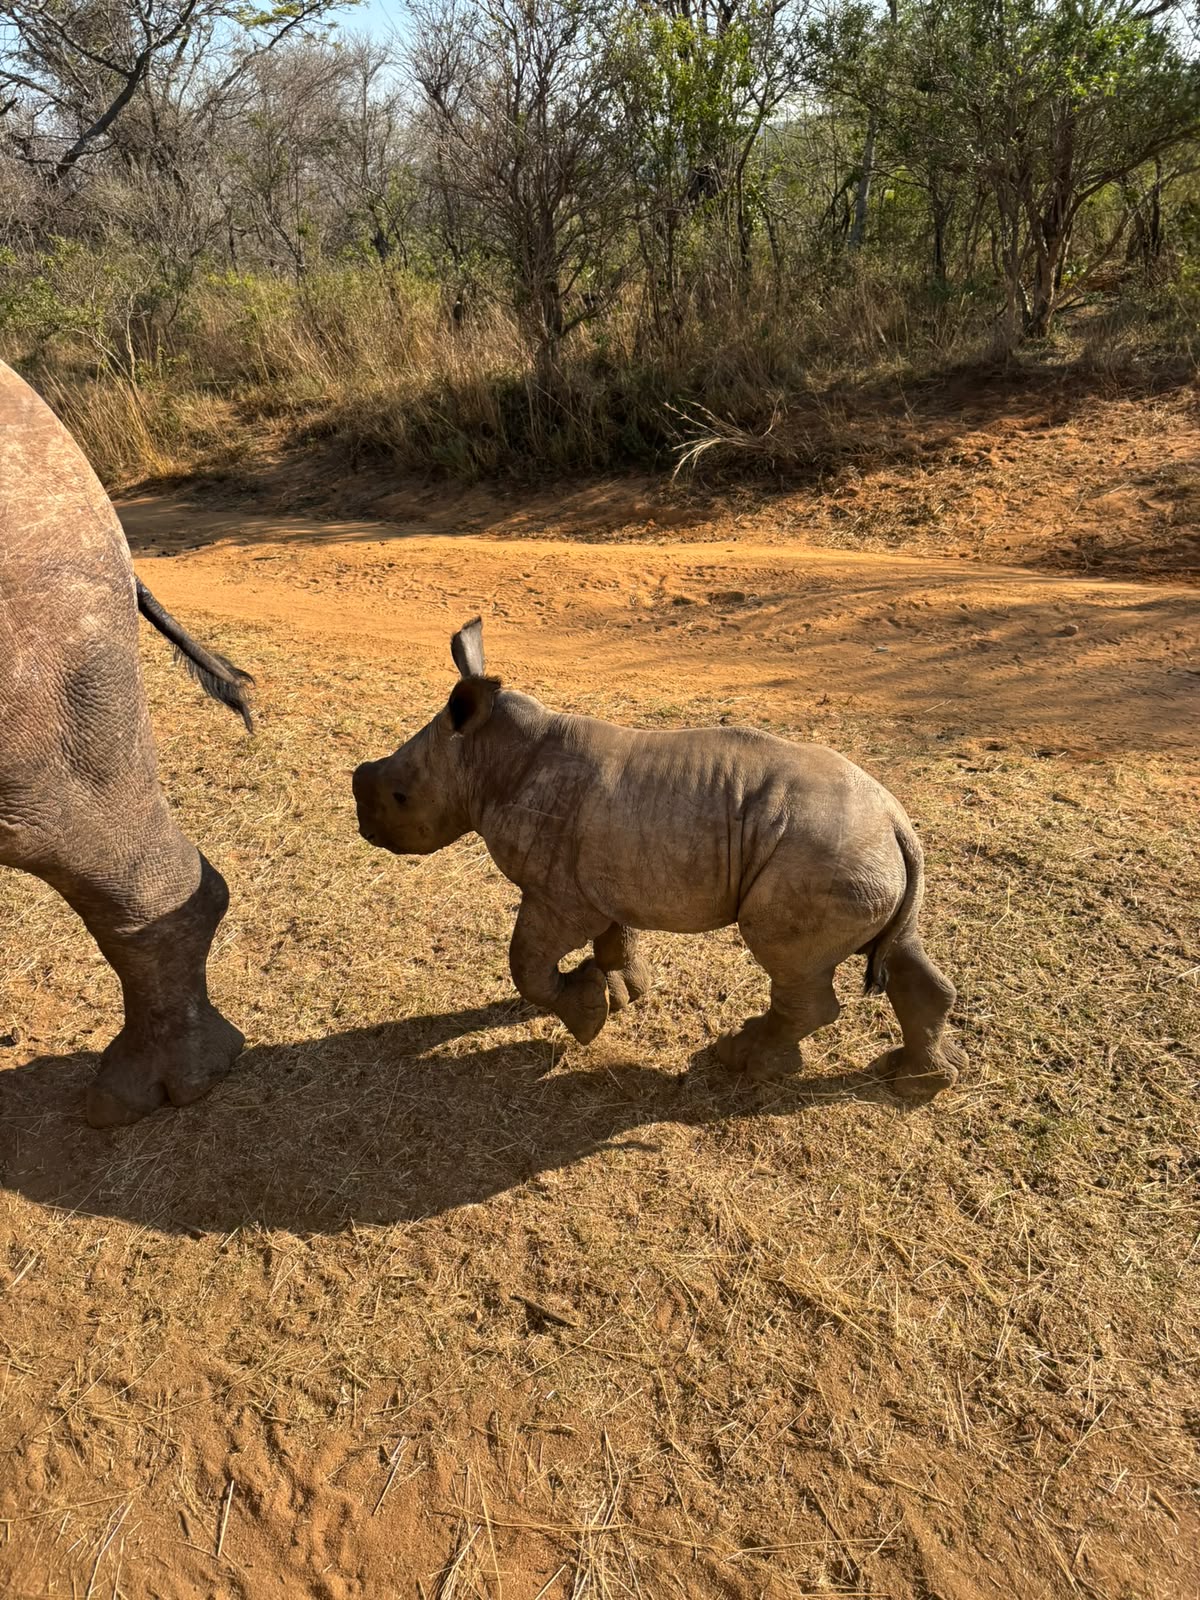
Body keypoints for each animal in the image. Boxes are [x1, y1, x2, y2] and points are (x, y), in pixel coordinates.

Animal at [353, 618, 965, 1096]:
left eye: (400, 796)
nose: (364, 827)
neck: (485, 757)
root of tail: (896, 821)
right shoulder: (599, 878)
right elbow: (615, 936)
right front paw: (623, 995)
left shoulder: (557, 893)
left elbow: (526, 965)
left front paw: (587, 1019)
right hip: (869, 858)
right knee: (902, 948)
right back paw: (917, 1082)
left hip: (824, 860)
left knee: (793, 965)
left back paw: (741, 1062)